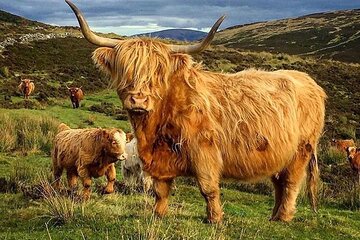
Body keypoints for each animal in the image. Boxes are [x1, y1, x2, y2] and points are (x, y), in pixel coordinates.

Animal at [66, 0, 328, 223]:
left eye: (158, 73)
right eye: (124, 69)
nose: (138, 99)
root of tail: (310, 82)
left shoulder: (205, 151)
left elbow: (208, 187)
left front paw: (215, 219)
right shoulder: (159, 159)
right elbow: (161, 189)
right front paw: (158, 214)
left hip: (301, 150)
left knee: (291, 183)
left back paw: (283, 218)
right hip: (278, 152)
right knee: (278, 184)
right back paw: (273, 216)